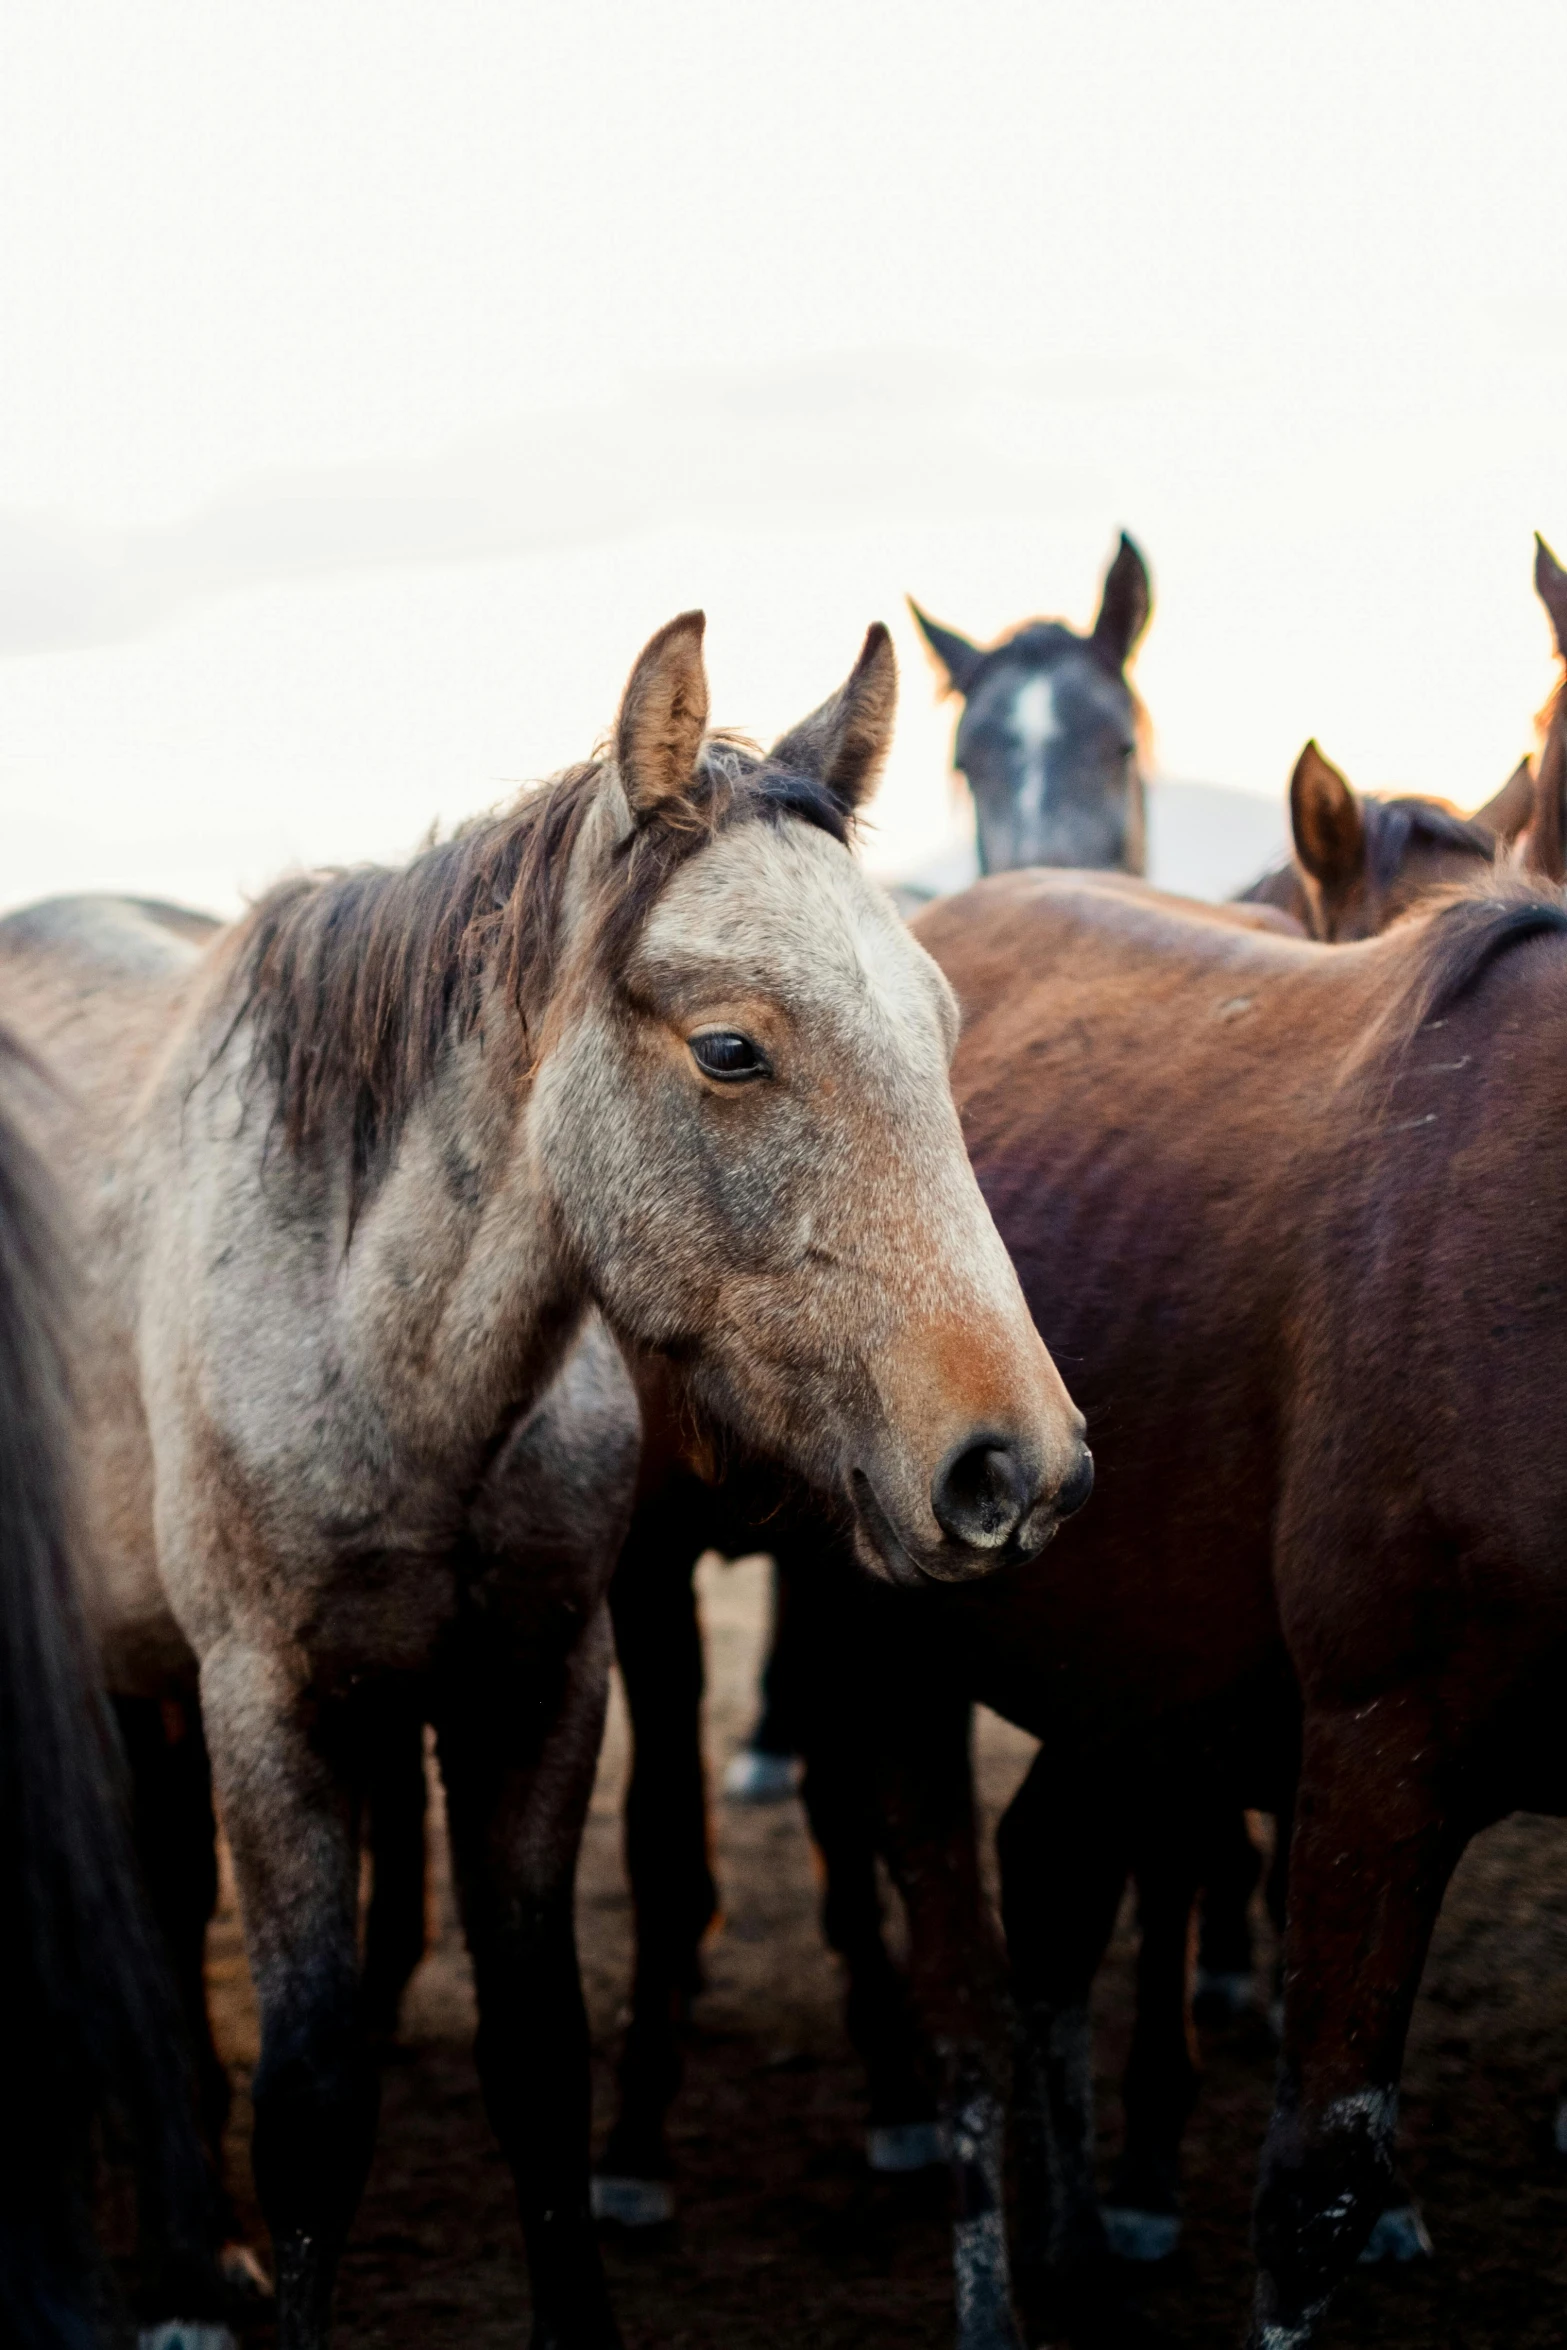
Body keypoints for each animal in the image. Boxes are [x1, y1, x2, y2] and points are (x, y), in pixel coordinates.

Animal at [0, 620, 1090, 2350]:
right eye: (729, 1047)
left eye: (937, 1025)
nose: (1015, 1465)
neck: (376, 1343)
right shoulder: (269, 1707)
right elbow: (311, 2105)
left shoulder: (538, 1686)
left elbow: (541, 2063)